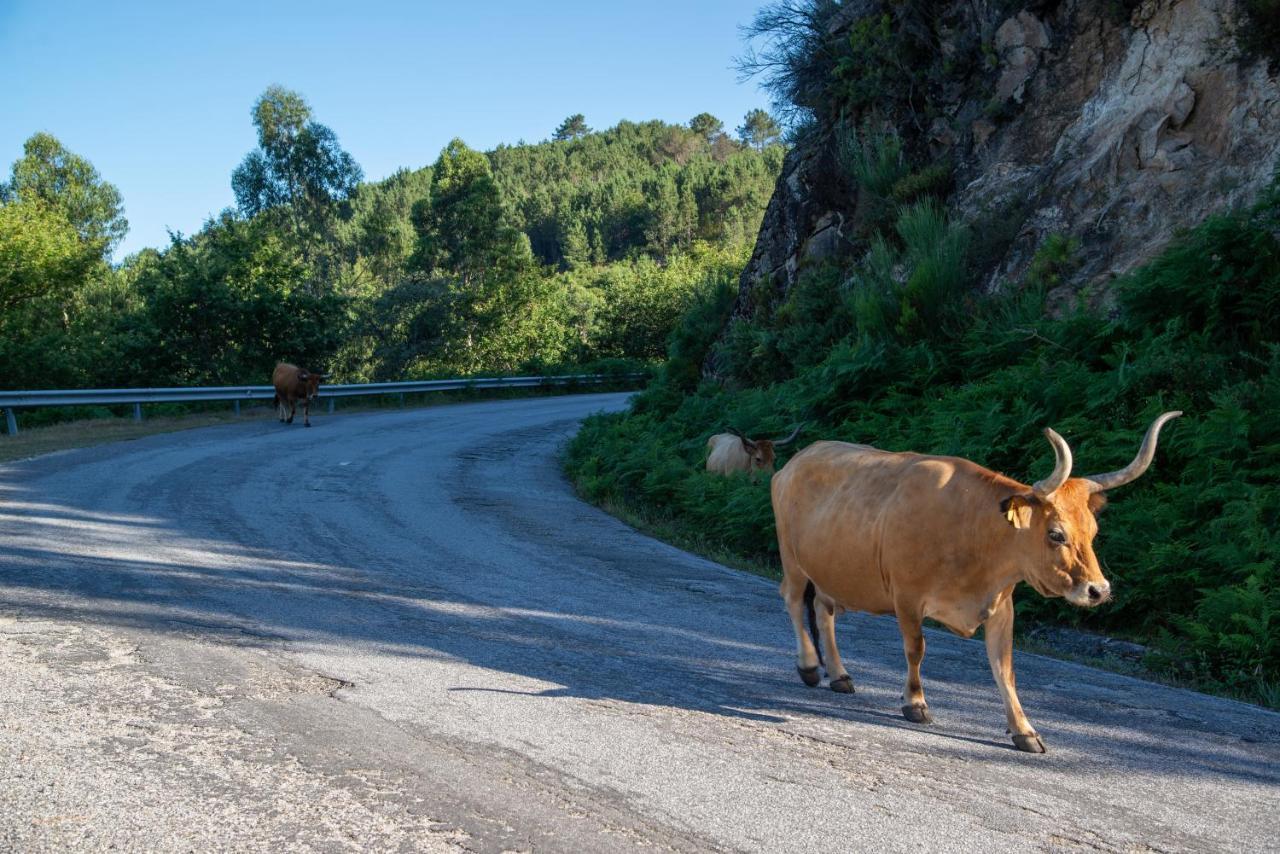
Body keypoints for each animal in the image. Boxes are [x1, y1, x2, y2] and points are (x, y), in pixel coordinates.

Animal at [768, 414, 1177, 752]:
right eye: (1056, 534)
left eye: (1092, 531)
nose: (1098, 590)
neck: (973, 532)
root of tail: (798, 460)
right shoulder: (907, 596)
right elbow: (916, 649)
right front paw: (915, 703)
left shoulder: (1001, 605)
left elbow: (1005, 669)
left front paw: (1024, 730)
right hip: (792, 558)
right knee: (793, 600)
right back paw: (809, 665)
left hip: (829, 571)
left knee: (823, 609)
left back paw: (839, 675)